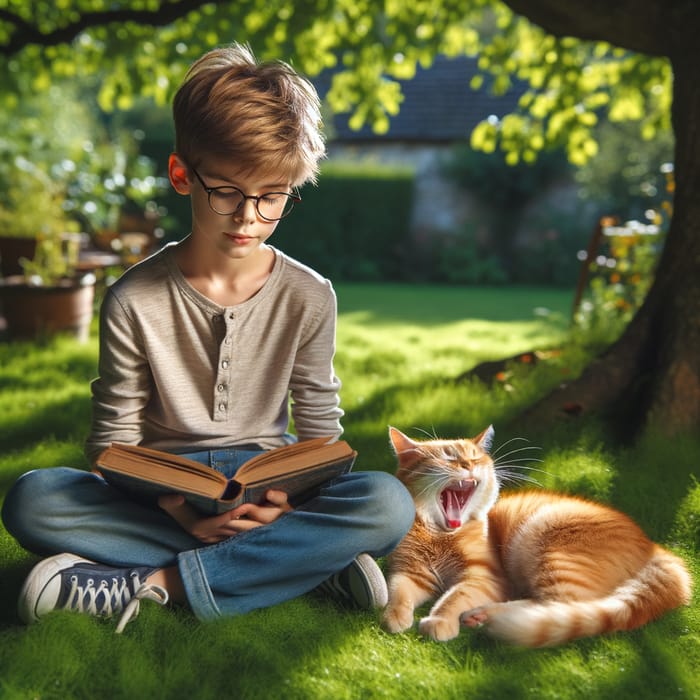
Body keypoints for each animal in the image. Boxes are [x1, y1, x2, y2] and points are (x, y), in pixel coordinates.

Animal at [386, 424, 692, 648]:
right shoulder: (409, 572)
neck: (438, 535)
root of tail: (655, 548)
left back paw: (486, 616)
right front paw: (393, 616)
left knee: (560, 607)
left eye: (475, 457)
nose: (469, 465)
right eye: (448, 456)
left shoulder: (484, 577)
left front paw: (438, 621)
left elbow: (452, 598)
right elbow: (398, 592)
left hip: (547, 546)